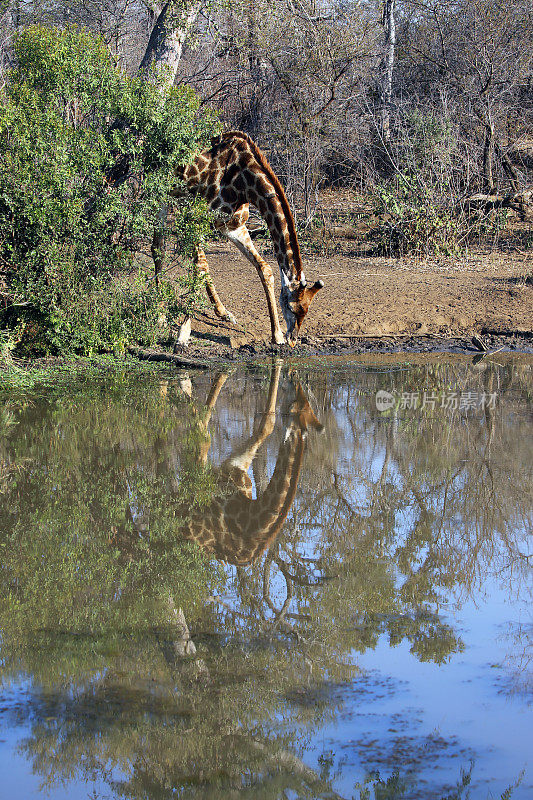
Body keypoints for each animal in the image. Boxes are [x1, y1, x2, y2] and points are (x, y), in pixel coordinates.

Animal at [166, 132, 324, 346]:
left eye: (307, 310)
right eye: (293, 308)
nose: (293, 339)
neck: (245, 183)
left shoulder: (234, 226)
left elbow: (265, 269)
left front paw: (277, 335)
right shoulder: (195, 219)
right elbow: (200, 267)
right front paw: (183, 334)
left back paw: (222, 312)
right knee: (156, 242)